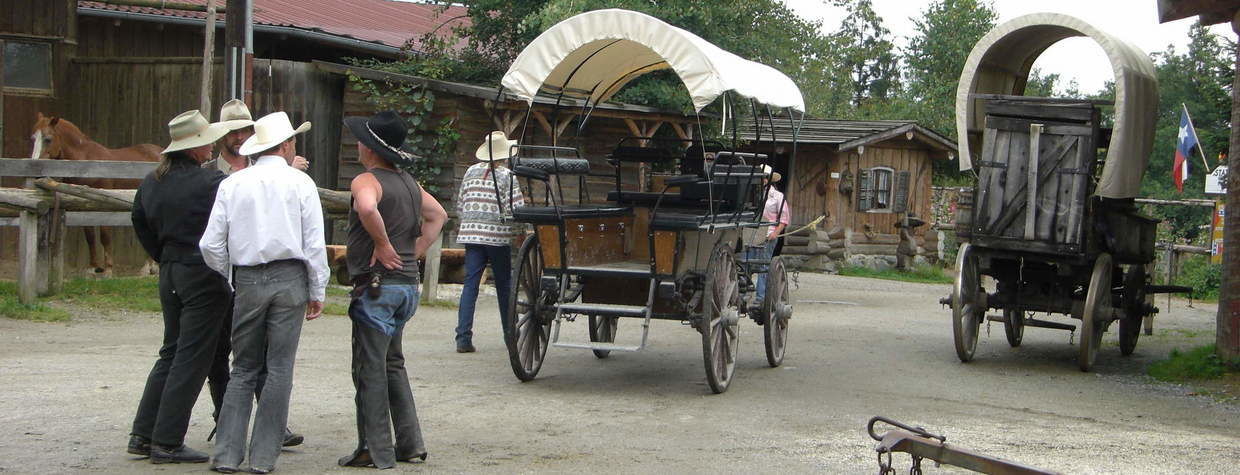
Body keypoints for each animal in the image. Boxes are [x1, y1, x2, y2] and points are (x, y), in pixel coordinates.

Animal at [30, 114, 161, 275]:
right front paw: (92, 268)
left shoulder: (105, 204)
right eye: (33, 138)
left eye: (48, 139)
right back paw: (150, 266)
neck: (88, 163)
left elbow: (105, 235)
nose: (35, 169)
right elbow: (90, 236)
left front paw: (108, 269)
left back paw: (149, 267)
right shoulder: (84, 205)